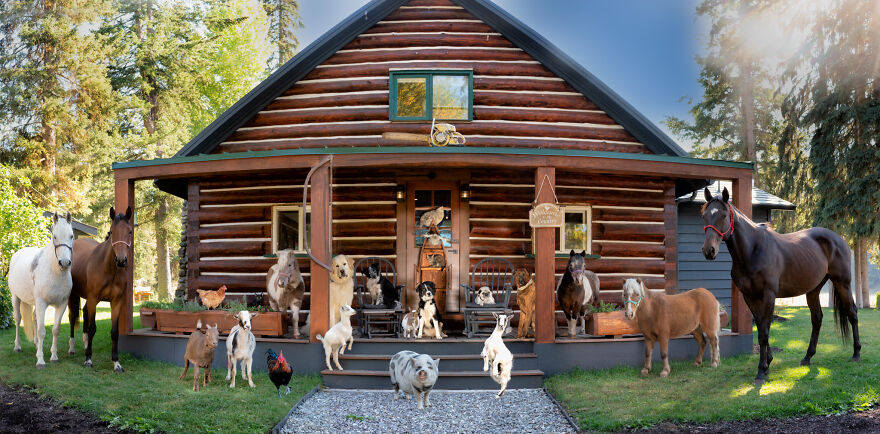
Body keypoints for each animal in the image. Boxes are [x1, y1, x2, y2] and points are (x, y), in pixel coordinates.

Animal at [7, 212, 74, 368]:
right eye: (54, 236)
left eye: (71, 236)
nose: (64, 263)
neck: (55, 273)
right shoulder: (42, 303)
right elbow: (42, 330)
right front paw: (40, 360)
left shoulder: (62, 304)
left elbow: (55, 330)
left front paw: (54, 356)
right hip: (15, 298)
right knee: (18, 320)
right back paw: (17, 346)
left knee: (34, 318)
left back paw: (37, 345)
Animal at [68, 207, 133, 372]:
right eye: (112, 231)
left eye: (130, 231)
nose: (121, 260)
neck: (109, 269)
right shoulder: (93, 299)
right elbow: (92, 328)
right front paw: (88, 360)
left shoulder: (116, 302)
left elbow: (115, 332)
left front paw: (116, 363)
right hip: (73, 296)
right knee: (72, 317)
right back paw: (72, 348)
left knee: (84, 312)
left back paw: (85, 345)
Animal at [700, 186, 860, 384]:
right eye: (704, 215)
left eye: (723, 215)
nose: (709, 251)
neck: (753, 250)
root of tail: (839, 239)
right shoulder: (749, 296)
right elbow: (761, 327)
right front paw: (768, 363)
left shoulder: (768, 296)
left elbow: (764, 332)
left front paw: (761, 371)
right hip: (813, 290)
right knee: (817, 318)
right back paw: (807, 357)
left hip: (842, 283)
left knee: (852, 313)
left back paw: (856, 354)